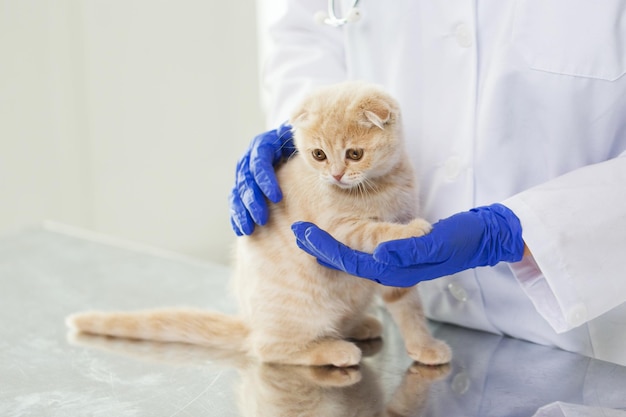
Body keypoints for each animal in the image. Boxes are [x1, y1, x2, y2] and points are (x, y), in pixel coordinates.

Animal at [67, 81, 448, 368]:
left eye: (354, 154)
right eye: (318, 155)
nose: (336, 175)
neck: (378, 187)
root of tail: (251, 324)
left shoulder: (395, 270)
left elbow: (408, 306)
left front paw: (424, 345)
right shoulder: (336, 229)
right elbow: (374, 230)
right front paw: (412, 231)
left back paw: (357, 325)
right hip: (297, 314)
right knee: (268, 349)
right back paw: (332, 349)